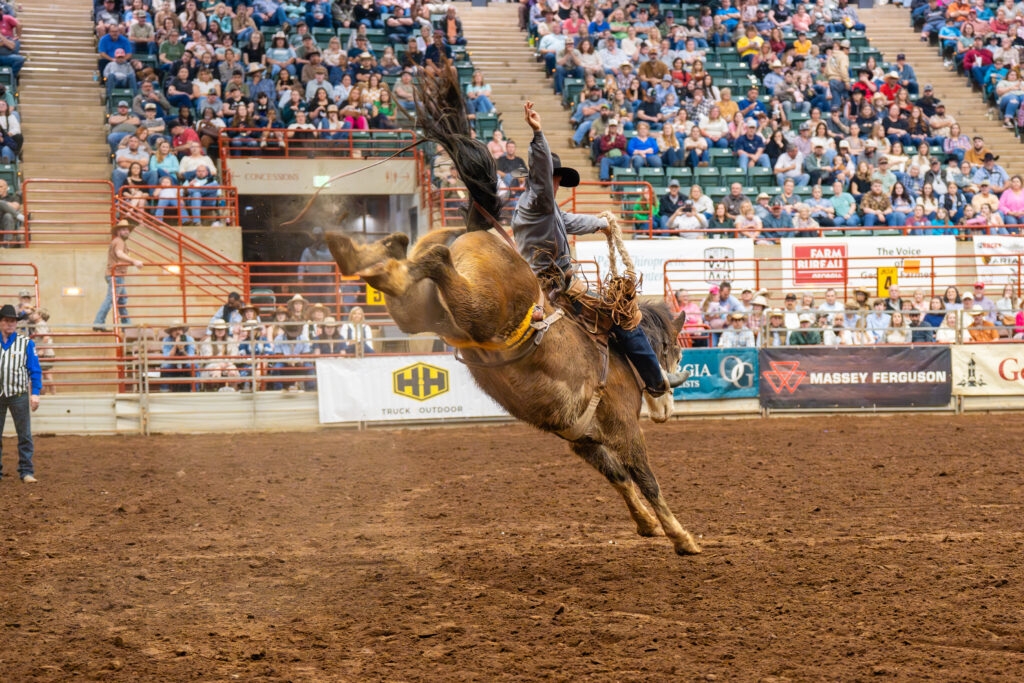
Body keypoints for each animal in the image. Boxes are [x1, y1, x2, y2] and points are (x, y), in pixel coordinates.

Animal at [324, 68, 701, 556]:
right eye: (673, 346)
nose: (667, 403)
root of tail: (474, 228)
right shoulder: (621, 427)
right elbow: (645, 477)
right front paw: (682, 536)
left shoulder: (582, 438)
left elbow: (617, 476)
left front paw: (646, 525)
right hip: (478, 309)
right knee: (435, 262)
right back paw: (370, 254)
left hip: (426, 313)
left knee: (411, 269)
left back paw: (367, 252)